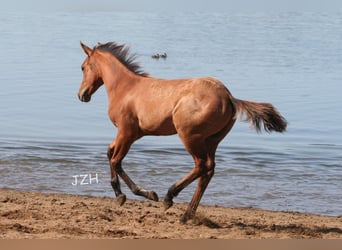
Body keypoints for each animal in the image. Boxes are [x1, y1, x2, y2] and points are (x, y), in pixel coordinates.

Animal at [77, 41, 286, 223]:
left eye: (82, 67)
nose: (81, 95)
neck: (126, 88)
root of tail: (228, 96)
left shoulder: (126, 132)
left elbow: (116, 160)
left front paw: (130, 195)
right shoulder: (132, 134)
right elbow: (110, 153)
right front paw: (132, 194)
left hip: (189, 136)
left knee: (201, 166)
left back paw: (170, 197)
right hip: (211, 141)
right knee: (209, 170)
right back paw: (186, 214)